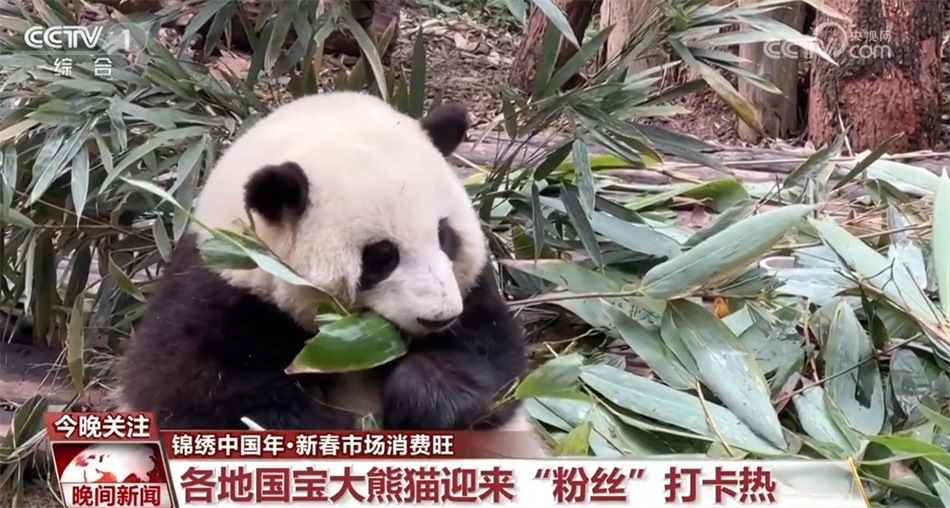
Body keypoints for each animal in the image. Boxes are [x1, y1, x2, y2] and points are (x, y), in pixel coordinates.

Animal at [113, 91, 549, 457]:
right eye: (381, 257)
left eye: (445, 236)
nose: (439, 317)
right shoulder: (216, 288)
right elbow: (190, 392)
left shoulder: (472, 294)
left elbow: (496, 361)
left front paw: (427, 396)